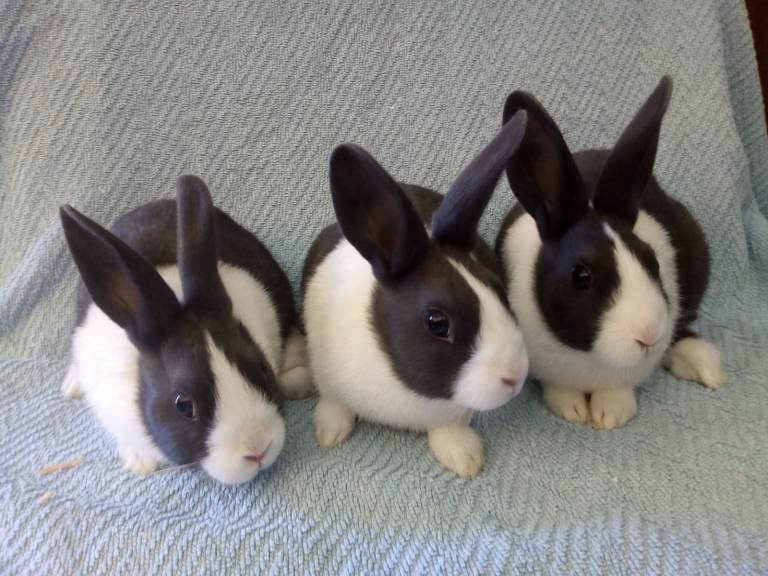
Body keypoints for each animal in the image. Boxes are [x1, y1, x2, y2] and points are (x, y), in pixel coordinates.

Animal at [302, 111, 530, 478]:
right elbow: (333, 403)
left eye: (498, 288)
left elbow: (450, 427)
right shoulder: (326, 374)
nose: (514, 377)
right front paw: (329, 433)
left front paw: (464, 458)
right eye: (437, 322)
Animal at [496, 76, 727, 430]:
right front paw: (571, 409)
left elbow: (619, 389)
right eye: (581, 277)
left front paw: (611, 415)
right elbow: (558, 388)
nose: (648, 336)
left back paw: (706, 366)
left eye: (652, 261)